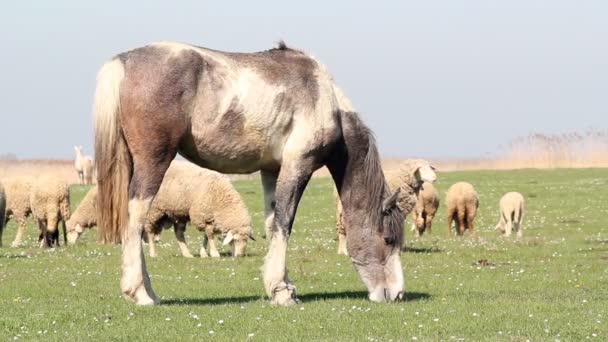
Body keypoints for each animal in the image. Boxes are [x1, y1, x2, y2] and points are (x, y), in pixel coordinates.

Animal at [95, 41, 406, 306]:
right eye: (388, 240)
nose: (396, 294)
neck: (325, 100)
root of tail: (123, 61)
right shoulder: (298, 166)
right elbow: (284, 223)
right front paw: (281, 291)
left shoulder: (272, 170)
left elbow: (272, 224)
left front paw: (282, 288)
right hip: (153, 163)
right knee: (134, 222)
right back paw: (139, 293)